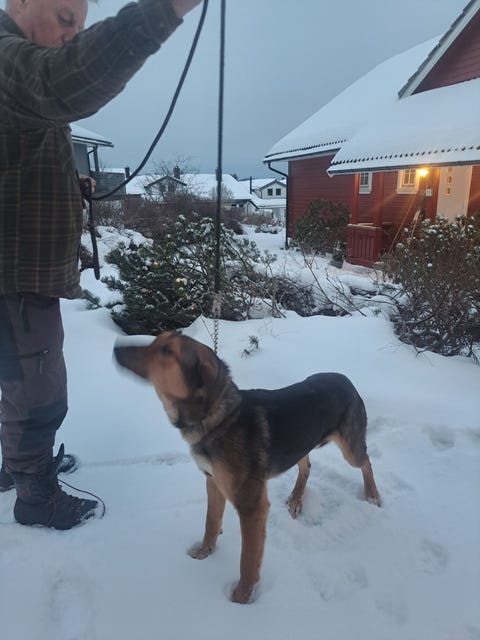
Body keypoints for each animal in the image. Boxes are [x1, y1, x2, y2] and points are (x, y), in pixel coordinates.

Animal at [114, 331, 381, 604]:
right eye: (156, 340)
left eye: (167, 351)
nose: (116, 348)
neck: (219, 418)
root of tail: (345, 378)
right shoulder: (213, 481)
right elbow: (211, 523)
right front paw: (204, 552)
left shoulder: (251, 506)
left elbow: (248, 559)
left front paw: (241, 599)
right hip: (301, 443)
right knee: (306, 464)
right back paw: (296, 499)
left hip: (350, 450)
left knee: (366, 461)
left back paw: (372, 495)